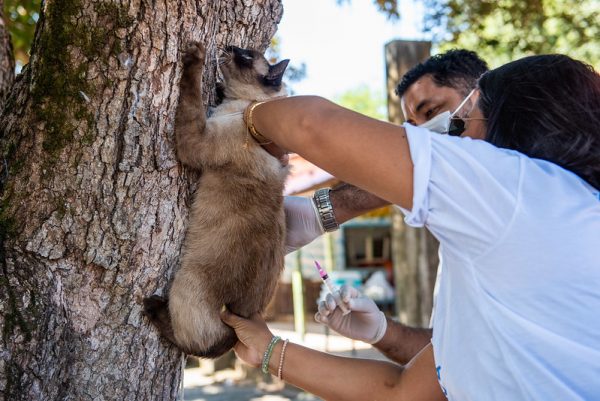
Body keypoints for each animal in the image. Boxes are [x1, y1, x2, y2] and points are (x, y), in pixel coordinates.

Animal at [143, 43, 288, 356]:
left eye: (245, 56)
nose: (230, 46)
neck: (242, 107)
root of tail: (243, 315)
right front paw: (219, 87)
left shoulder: (195, 139)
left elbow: (191, 94)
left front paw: (194, 57)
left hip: (186, 283)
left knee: (199, 343)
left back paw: (154, 308)